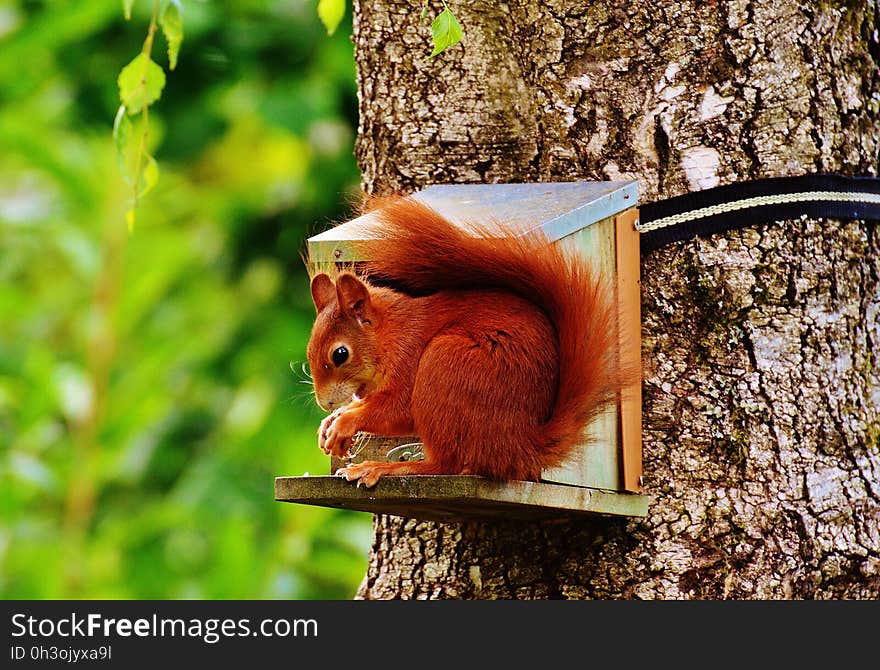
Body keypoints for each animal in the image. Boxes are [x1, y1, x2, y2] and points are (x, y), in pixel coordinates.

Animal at [306, 194, 624, 488]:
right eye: (309, 353)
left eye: (340, 354)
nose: (324, 403)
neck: (390, 335)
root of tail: (521, 446)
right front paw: (331, 422)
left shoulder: (409, 356)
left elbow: (398, 410)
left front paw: (344, 422)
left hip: (444, 363)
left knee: (446, 464)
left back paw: (382, 468)